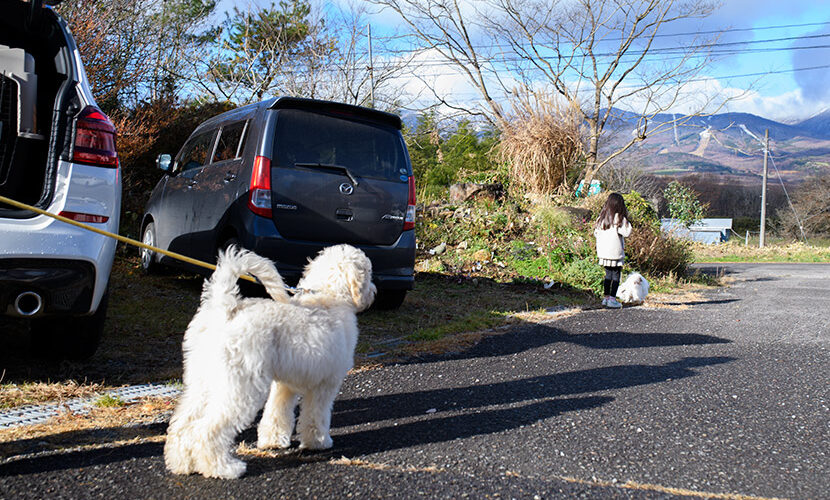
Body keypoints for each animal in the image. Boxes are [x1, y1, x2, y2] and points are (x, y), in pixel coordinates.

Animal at [165, 244, 376, 478]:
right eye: (368, 272)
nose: (373, 292)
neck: (330, 296)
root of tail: (225, 307)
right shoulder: (325, 385)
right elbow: (316, 415)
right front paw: (319, 442)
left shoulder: (283, 385)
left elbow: (277, 413)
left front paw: (273, 441)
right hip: (241, 388)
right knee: (207, 429)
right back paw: (223, 468)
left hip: (203, 383)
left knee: (183, 424)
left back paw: (181, 463)